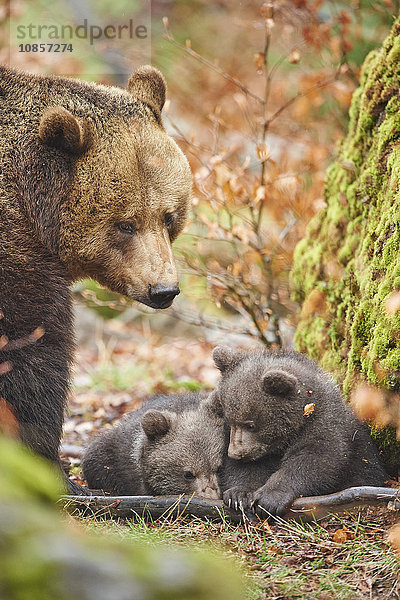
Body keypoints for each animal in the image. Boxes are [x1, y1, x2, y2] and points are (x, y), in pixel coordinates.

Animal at [205, 346, 386, 516]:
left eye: (250, 425)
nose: (235, 453)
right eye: (230, 420)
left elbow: (314, 459)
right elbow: (244, 469)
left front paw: (269, 498)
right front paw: (238, 495)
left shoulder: (324, 425)